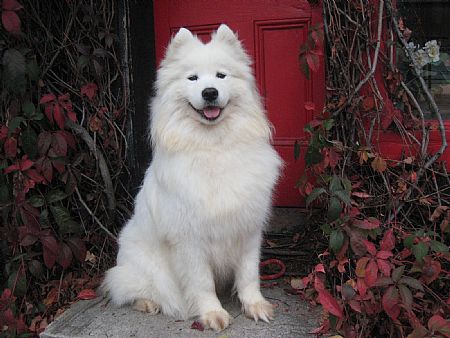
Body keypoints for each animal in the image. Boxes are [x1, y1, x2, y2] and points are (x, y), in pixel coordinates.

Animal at [103, 25, 284, 332]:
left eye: (221, 75)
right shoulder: (189, 239)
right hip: (143, 269)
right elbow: (202, 282)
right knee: (129, 287)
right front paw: (212, 313)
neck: (214, 147)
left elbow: (249, 275)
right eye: (193, 78)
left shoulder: (248, 230)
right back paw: (148, 303)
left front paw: (255, 306)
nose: (209, 92)